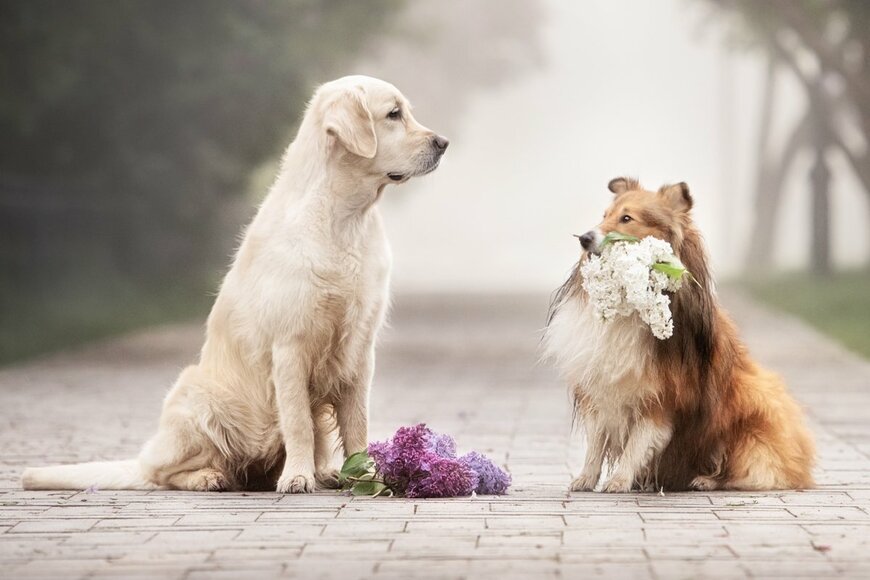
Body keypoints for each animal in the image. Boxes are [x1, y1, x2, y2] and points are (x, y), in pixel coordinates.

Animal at [24, 76, 454, 494]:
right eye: (393, 114)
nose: (444, 143)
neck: (345, 219)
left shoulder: (360, 348)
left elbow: (356, 425)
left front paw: (365, 479)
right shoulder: (290, 346)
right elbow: (298, 422)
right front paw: (298, 478)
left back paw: (324, 473)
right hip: (197, 397)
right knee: (161, 472)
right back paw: (210, 477)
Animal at [544, 178, 816, 494]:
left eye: (627, 218)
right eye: (604, 215)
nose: (584, 239)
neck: (630, 306)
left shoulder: (661, 397)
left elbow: (636, 444)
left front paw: (620, 480)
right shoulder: (600, 387)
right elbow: (596, 443)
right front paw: (585, 479)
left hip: (752, 401)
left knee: (742, 469)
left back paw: (705, 479)